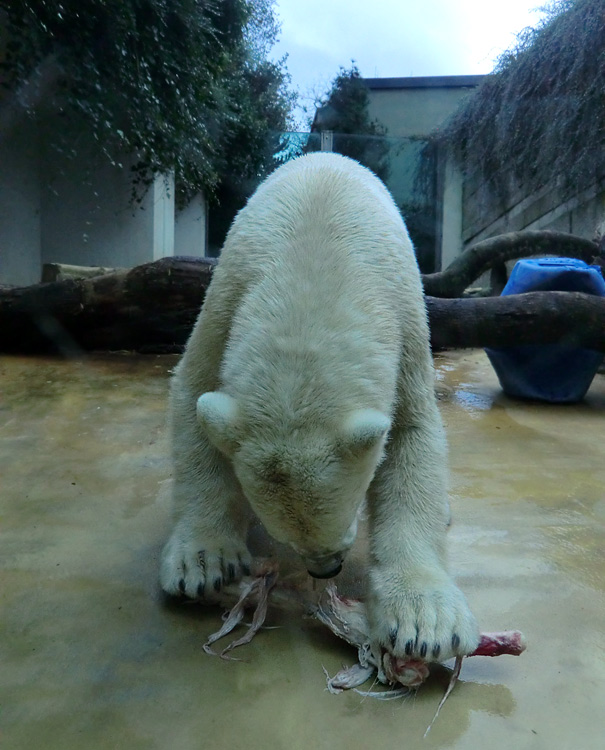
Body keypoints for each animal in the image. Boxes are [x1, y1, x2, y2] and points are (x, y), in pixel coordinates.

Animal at [159, 154, 476, 664]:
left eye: (345, 515)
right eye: (289, 536)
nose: (326, 569)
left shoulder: (404, 317)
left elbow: (412, 434)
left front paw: (424, 623)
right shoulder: (227, 297)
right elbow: (194, 392)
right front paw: (203, 562)